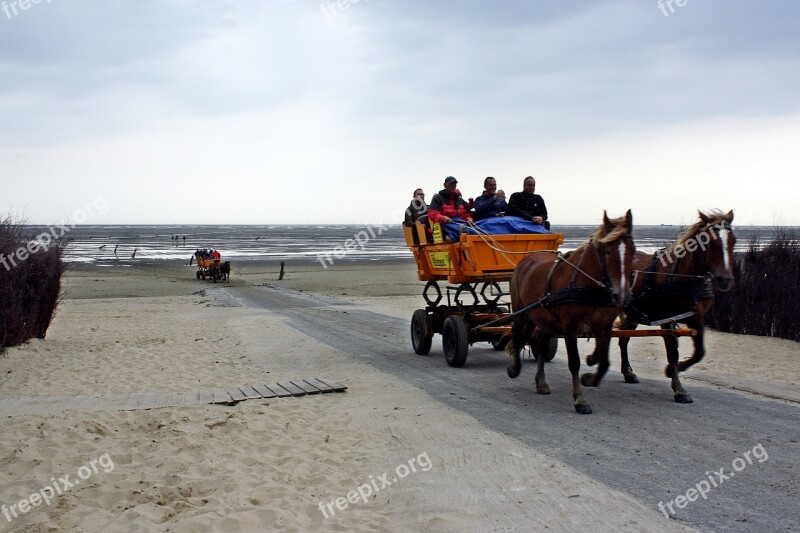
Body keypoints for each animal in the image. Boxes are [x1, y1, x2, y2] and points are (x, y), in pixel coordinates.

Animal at [510, 210, 636, 414]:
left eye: (633, 252)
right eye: (608, 252)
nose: (621, 296)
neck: (590, 285)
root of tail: (527, 259)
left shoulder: (604, 324)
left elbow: (604, 362)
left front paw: (589, 377)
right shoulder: (570, 325)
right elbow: (574, 362)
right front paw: (579, 399)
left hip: (546, 319)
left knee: (541, 344)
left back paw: (541, 382)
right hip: (522, 313)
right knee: (517, 336)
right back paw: (514, 369)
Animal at [592, 210, 736, 402]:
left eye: (733, 241)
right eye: (709, 242)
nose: (725, 280)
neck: (684, 277)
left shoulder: (696, 318)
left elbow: (699, 352)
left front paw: (675, 370)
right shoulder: (667, 319)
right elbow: (672, 353)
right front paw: (679, 389)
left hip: (632, 312)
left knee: (623, 339)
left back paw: (627, 372)